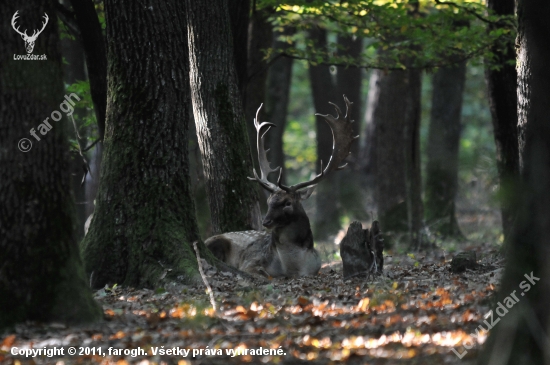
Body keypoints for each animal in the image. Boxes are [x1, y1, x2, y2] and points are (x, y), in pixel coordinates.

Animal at [206, 94, 358, 276]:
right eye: (268, 201)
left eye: (287, 203)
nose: (266, 222)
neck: (292, 267)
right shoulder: (251, 262)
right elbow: (262, 273)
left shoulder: (316, 269)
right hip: (216, 242)